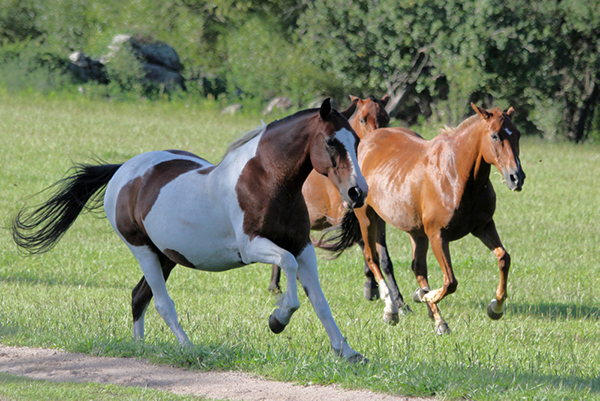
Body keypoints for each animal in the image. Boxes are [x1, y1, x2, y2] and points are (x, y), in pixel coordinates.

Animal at [14, 99, 368, 362]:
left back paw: (139, 349)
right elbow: (288, 273)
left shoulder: (302, 247)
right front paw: (277, 320)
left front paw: (347, 352)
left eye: (357, 140)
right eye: (331, 141)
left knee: (139, 297)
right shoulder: (253, 247)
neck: (268, 180)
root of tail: (123, 171)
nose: (358, 192)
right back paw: (188, 348)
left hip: (166, 256)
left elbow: (319, 301)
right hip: (142, 250)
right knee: (160, 302)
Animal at [268, 95, 408, 324]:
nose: (380, 138)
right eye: (362, 119)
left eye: (387, 118)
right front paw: (373, 288)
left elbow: (385, 259)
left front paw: (399, 301)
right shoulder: (345, 218)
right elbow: (366, 249)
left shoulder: (377, 219)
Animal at [326, 103, 528, 334]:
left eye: (517, 134)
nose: (516, 177)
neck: (456, 175)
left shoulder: (483, 226)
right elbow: (450, 281)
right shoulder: (437, 234)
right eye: (495, 135)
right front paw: (424, 296)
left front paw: (496, 307)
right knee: (373, 259)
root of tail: (364, 143)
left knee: (417, 268)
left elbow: (504, 258)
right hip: (368, 218)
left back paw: (436, 317)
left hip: (415, 231)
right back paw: (393, 309)